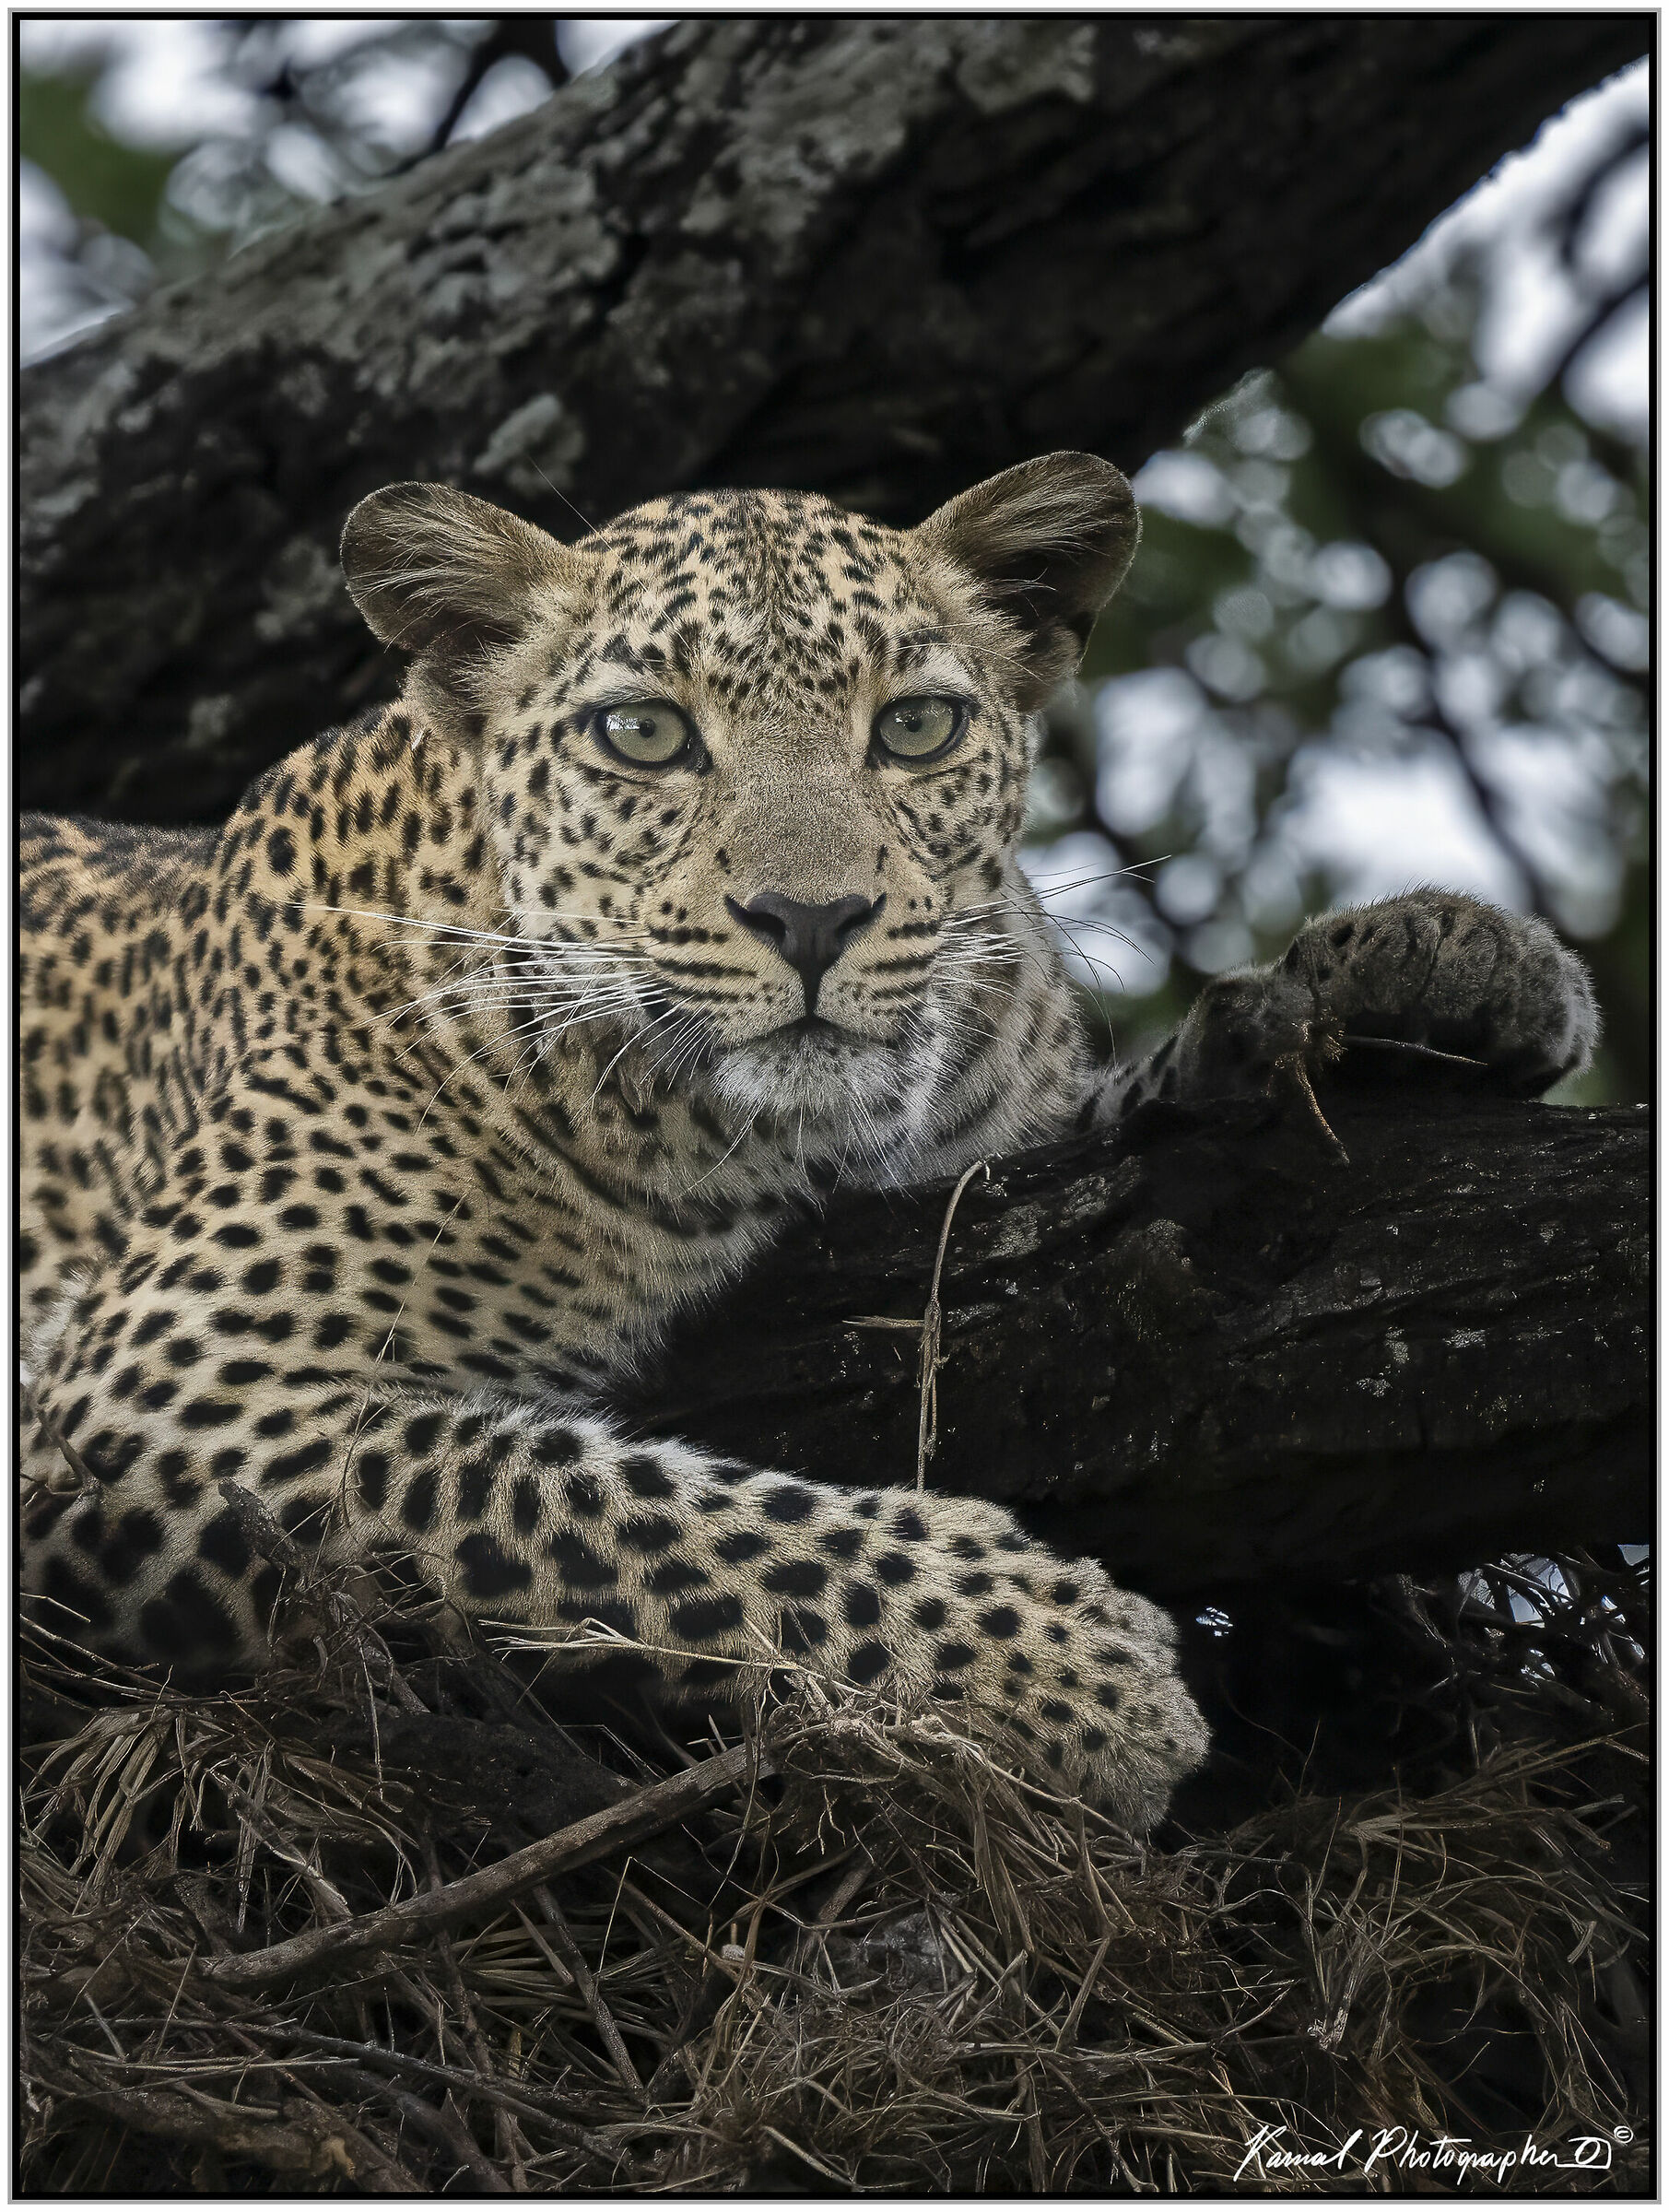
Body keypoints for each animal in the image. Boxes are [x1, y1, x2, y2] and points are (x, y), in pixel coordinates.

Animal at [19, 453, 1599, 1833]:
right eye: (643, 733)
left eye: (913, 728)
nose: (811, 919)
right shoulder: (166, 1384)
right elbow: (616, 1509)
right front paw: (1068, 1665)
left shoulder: (995, 1141)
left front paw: (1411, 970)